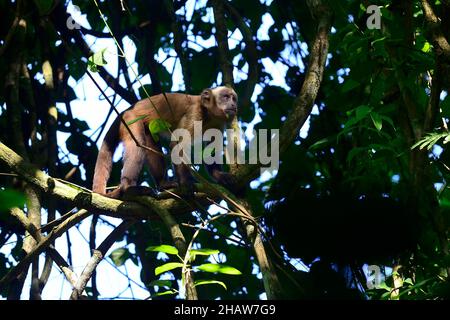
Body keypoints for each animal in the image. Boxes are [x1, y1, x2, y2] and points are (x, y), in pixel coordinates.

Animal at [92, 87, 239, 198]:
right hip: (130, 120)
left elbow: (211, 152)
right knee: (138, 144)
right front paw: (186, 183)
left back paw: (163, 184)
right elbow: (178, 146)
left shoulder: (218, 123)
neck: (208, 114)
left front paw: (220, 176)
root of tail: (125, 111)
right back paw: (128, 189)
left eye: (234, 98)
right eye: (226, 97)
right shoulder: (194, 114)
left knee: (147, 140)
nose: (233, 105)